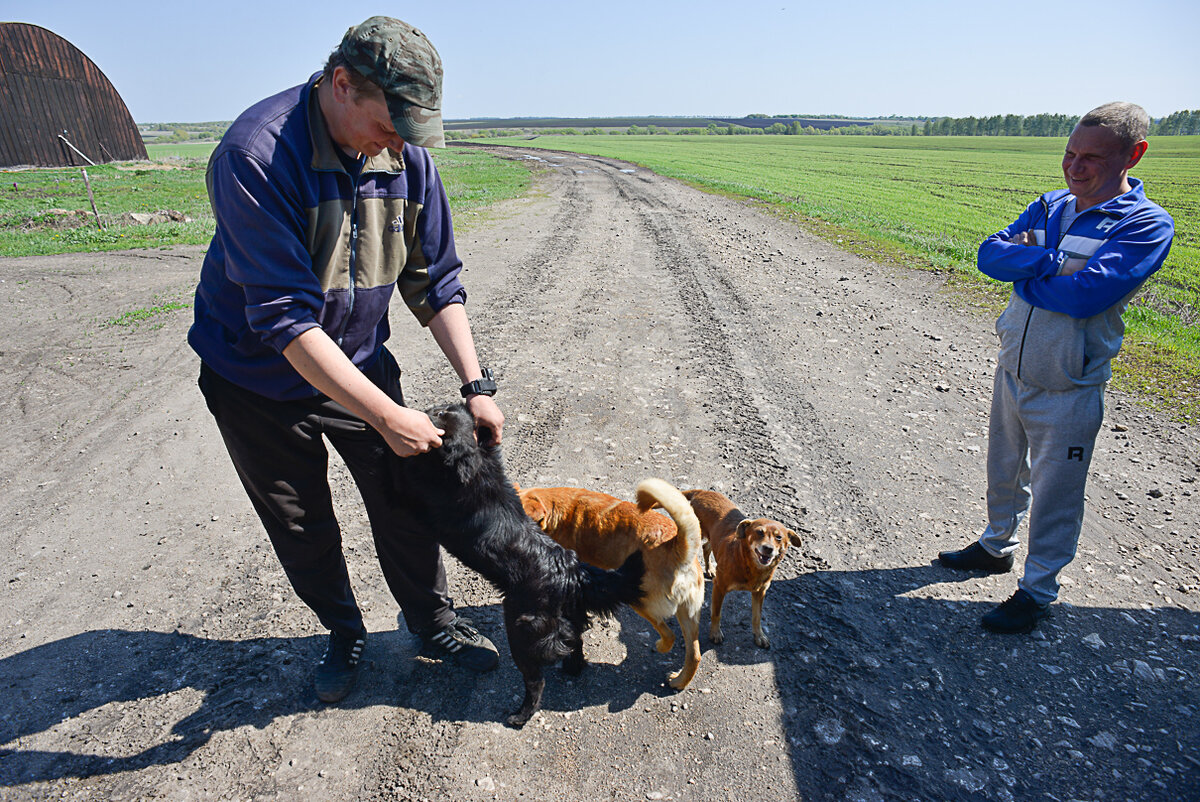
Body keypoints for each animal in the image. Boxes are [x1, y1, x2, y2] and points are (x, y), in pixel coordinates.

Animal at [388, 401, 643, 725]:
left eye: (440, 416)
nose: (423, 410)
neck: (476, 469)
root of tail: (571, 572)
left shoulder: (419, 492)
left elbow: (401, 473)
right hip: (565, 621)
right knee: (575, 646)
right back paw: (571, 670)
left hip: (521, 630)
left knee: (536, 681)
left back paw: (520, 716)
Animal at [516, 475, 700, 691]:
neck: (556, 510)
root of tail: (677, 547)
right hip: (688, 614)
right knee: (694, 655)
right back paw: (679, 681)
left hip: (640, 602)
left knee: (669, 635)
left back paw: (662, 647)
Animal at [681, 489, 801, 653]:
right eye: (759, 532)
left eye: (778, 537)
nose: (768, 549)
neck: (749, 565)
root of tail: (701, 492)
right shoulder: (719, 587)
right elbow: (716, 613)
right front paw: (715, 633)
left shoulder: (760, 592)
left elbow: (757, 617)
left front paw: (759, 636)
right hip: (696, 533)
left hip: (713, 538)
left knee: (706, 547)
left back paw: (710, 569)